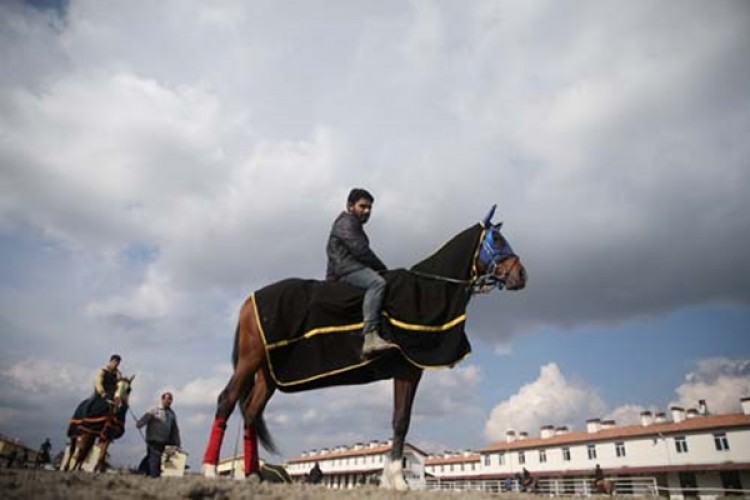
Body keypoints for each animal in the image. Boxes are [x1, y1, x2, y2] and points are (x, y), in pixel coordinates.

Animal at [203, 206, 524, 488]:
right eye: (497, 239)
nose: (522, 275)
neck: (426, 290)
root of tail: (249, 300)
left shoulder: (408, 372)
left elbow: (400, 421)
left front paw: (393, 479)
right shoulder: (408, 370)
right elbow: (401, 422)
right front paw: (398, 481)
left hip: (267, 374)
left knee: (251, 413)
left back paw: (253, 474)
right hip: (249, 359)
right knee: (227, 399)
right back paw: (209, 469)